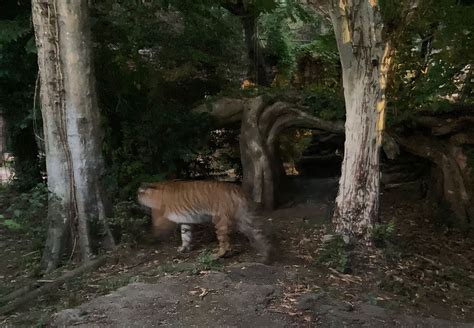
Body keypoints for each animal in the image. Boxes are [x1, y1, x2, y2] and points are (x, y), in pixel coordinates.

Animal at [137, 179, 270, 262]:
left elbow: (155, 230)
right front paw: (184, 248)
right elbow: (185, 235)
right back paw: (266, 255)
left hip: (220, 221)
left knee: (225, 244)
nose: (136, 198)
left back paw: (215, 256)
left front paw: (148, 240)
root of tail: (237, 189)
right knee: (259, 234)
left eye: (138, 194)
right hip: (244, 218)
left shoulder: (161, 218)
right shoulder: (186, 221)